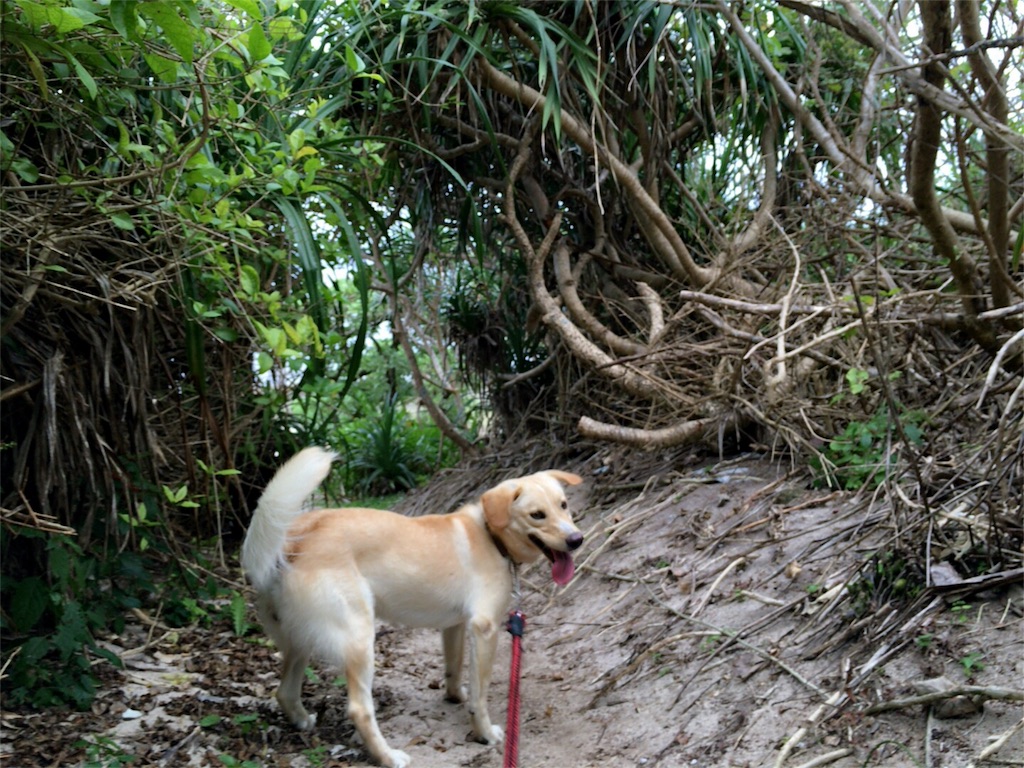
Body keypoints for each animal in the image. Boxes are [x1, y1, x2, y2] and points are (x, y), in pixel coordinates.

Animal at [238, 448, 585, 765]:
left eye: (563, 506)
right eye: (537, 515)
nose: (576, 540)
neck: (490, 535)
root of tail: (292, 541)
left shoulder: (455, 626)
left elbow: (453, 667)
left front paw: (454, 697)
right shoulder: (484, 629)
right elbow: (481, 695)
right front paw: (484, 733)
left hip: (301, 641)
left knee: (284, 691)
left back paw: (303, 721)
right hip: (359, 641)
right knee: (359, 710)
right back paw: (389, 757)